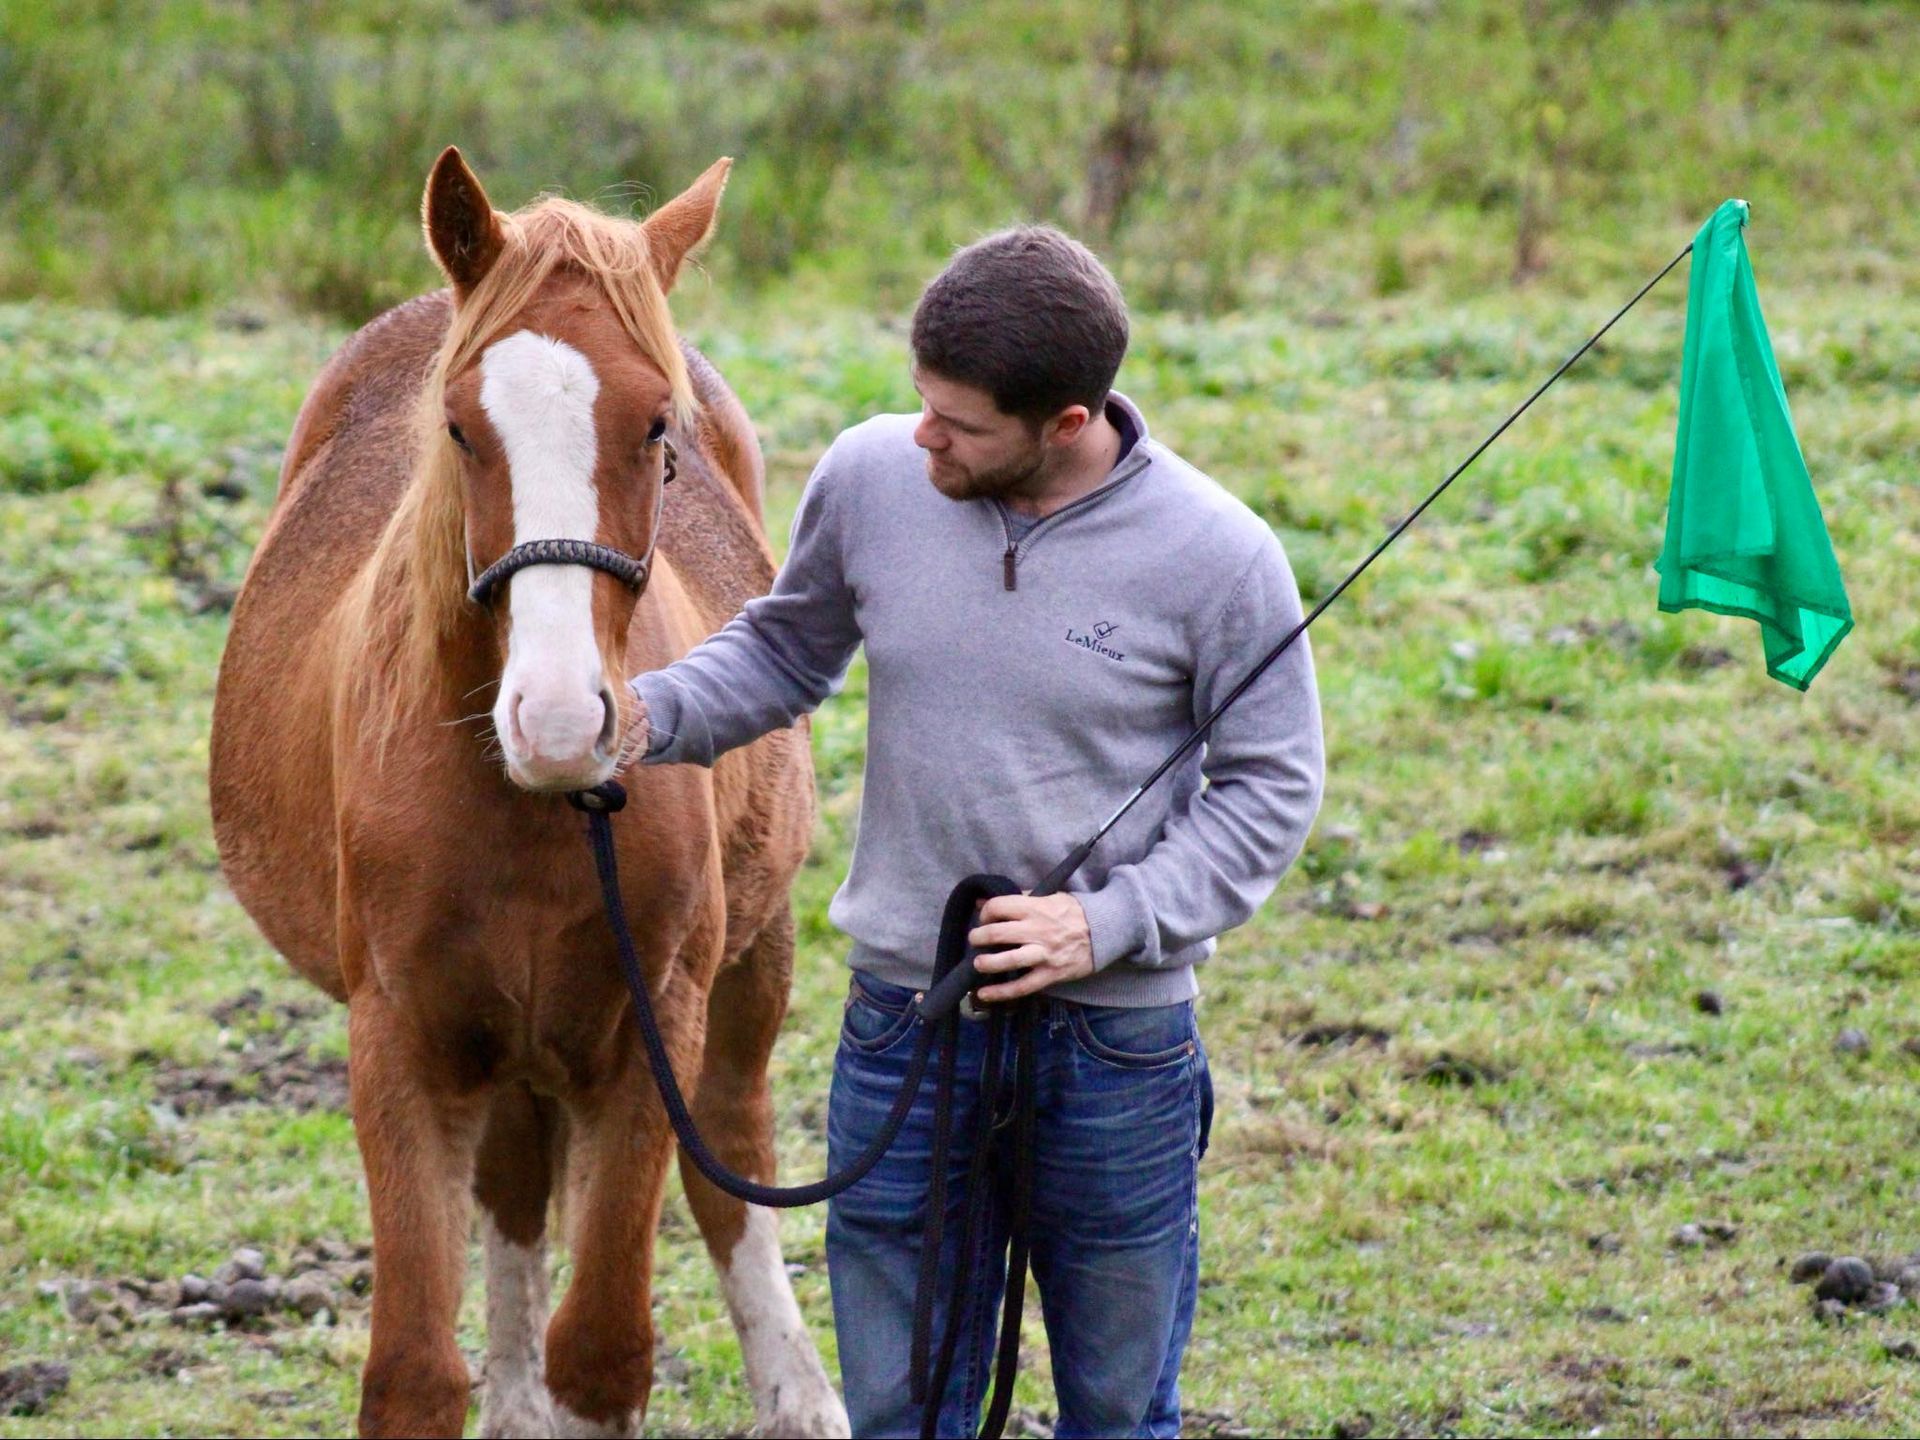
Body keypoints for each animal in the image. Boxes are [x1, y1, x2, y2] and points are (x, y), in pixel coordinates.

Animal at [208, 147, 849, 1439]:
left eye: (657, 425)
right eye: (459, 427)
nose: (559, 722)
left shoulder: (653, 1028)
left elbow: (601, 1349)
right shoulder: (401, 1041)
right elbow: (414, 1371)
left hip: (753, 966)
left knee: (734, 1156)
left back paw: (800, 1396)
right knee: (511, 1189)